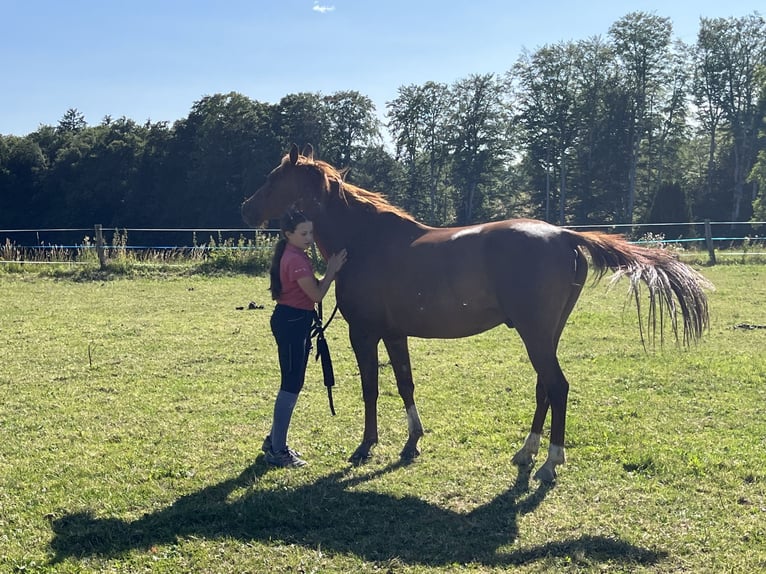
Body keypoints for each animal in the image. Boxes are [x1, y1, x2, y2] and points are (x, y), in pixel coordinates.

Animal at [242, 143, 712, 482]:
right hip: (546, 335)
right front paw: (412, 443)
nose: (246, 209)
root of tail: (564, 235)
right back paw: (526, 451)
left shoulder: (365, 333)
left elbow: (371, 389)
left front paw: (365, 446)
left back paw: (550, 462)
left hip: (535, 335)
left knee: (557, 386)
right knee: (545, 386)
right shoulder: (395, 334)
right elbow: (405, 384)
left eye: (274, 179)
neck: (366, 241)